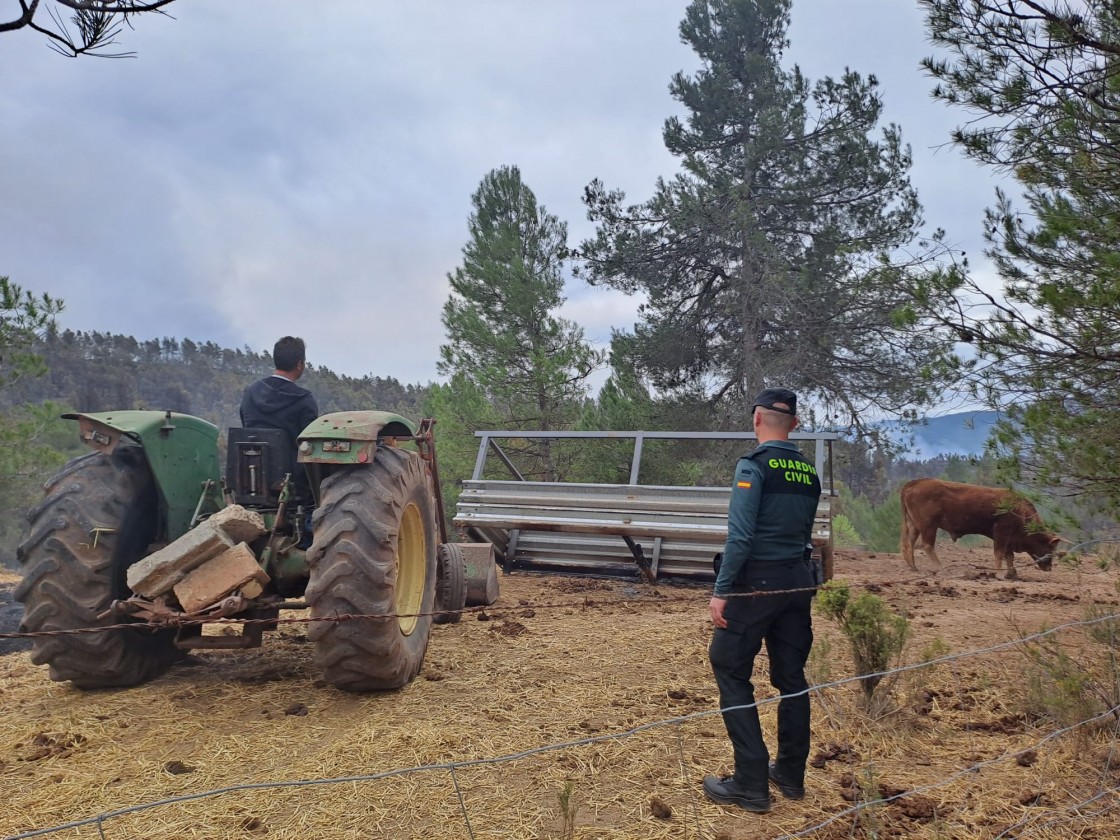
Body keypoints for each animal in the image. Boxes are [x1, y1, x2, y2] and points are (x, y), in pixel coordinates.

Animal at [896, 479, 1061, 577]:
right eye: (1050, 548)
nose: (1049, 567)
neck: (1020, 510)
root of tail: (916, 482)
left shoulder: (1008, 537)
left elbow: (1009, 555)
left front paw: (1012, 573)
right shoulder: (1002, 533)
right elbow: (1000, 553)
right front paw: (999, 574)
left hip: (914, 525)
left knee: (909, 543)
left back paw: (913, 566)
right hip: (928, 526)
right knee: (927, 545)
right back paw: (942, 568)